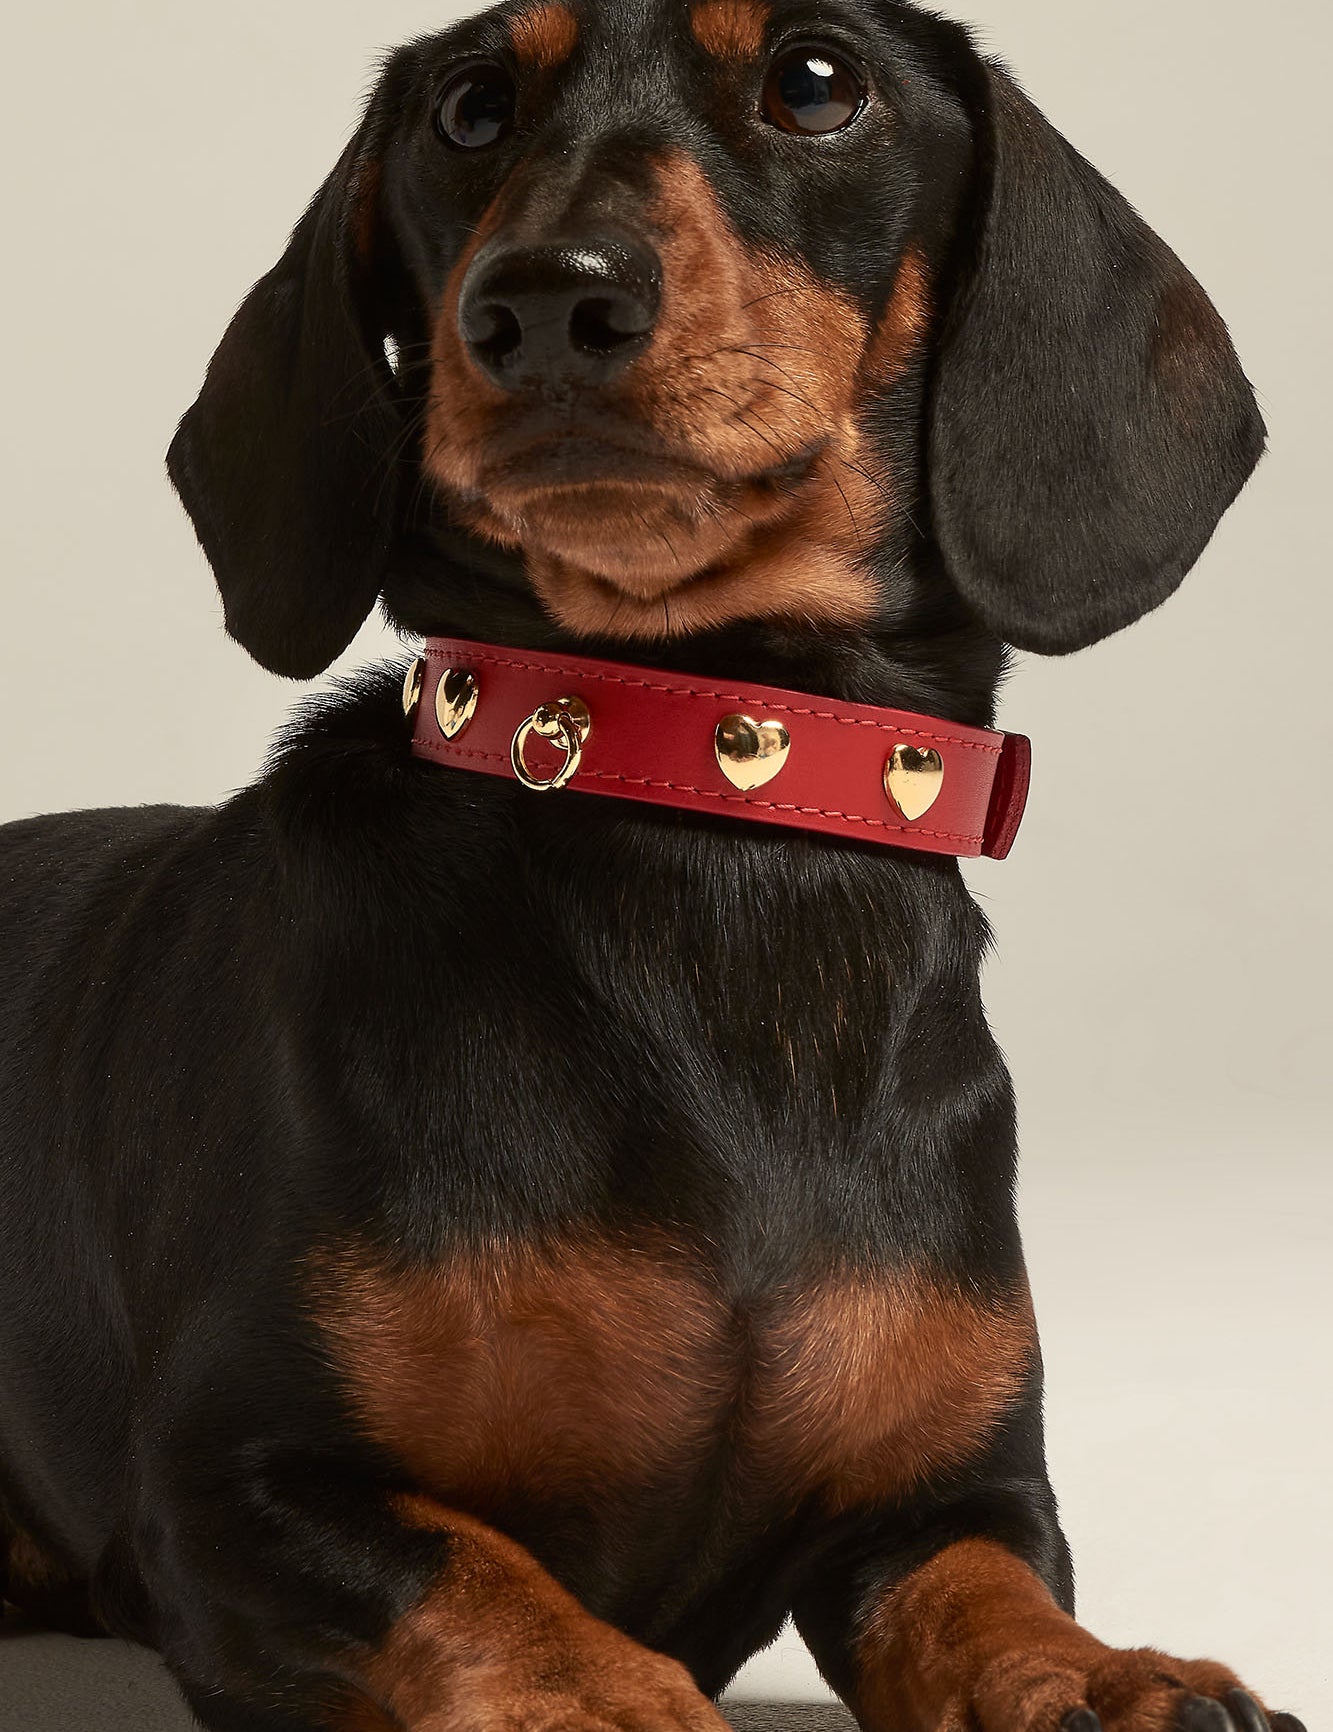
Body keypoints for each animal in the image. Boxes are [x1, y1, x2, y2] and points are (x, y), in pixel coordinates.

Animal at [0, 1, 1303, 1729]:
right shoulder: (229, 1492)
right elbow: (481, 1582)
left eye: (817, 83)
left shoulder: (945, 1503)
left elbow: (989, 1594)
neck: (709, 837)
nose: (546, 300)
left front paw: (1114, 1678)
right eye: (470, 112)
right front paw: (603, 1694)